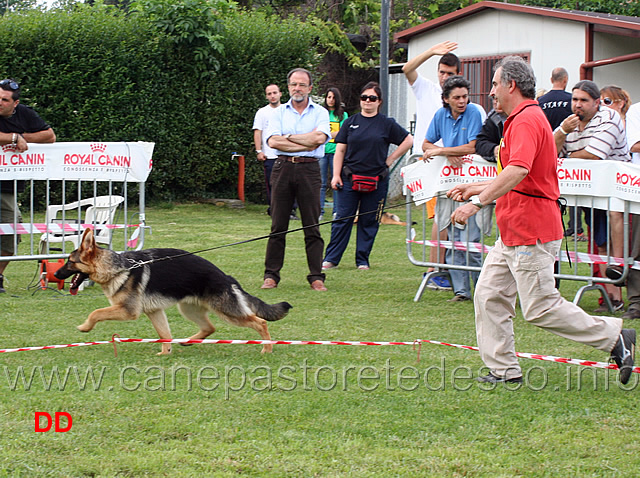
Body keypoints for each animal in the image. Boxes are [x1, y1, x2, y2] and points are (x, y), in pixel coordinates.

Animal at [55, 228, 292, 354]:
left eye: (69, 262)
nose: (55, 274)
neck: (117, 268)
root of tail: (224, 276)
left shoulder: (127, 311)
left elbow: (96, 312)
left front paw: (85, 327)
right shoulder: (154, 312)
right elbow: (164, 334)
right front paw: (165, 352)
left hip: (227, 311)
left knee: (259, 322)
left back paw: (267, 348)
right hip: (188, 309)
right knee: (210, 327)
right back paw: (189, 340)